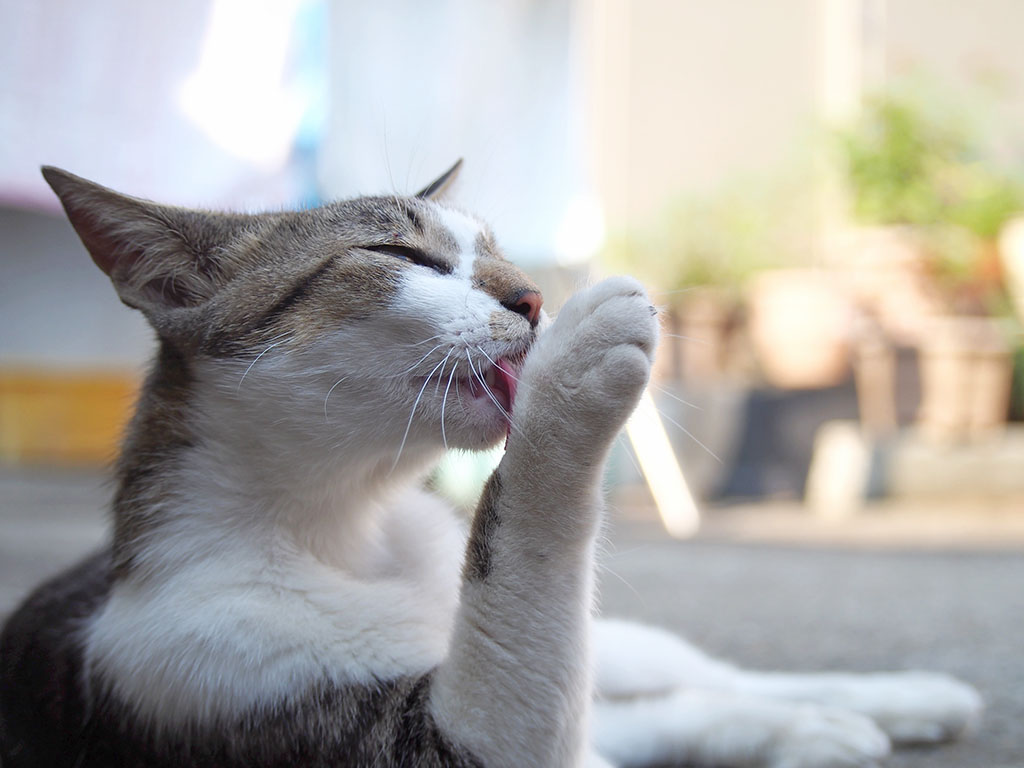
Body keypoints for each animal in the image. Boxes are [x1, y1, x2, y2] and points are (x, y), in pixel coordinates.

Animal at [4, 163, 987, 768]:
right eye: (396, 253)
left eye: (497, 250)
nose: (535, 296)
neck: (353, 530)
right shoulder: (253, 693)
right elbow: (518, 553)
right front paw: (573, 376)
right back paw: (817, 729)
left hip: (628, 653)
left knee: (694, 679)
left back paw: (894, 698)